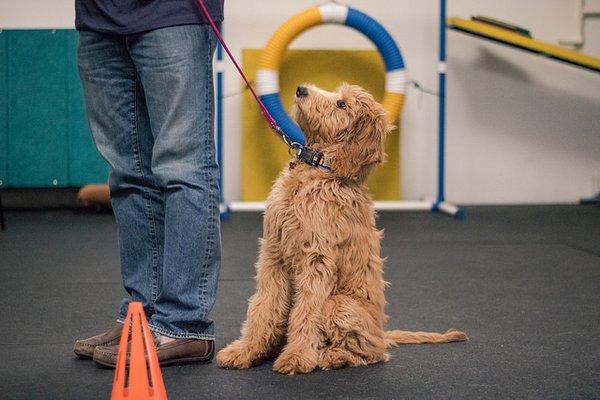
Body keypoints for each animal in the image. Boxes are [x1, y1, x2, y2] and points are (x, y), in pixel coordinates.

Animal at [218, 83, 466, 374]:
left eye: (342, 105)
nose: (301, 89)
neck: (318, 167)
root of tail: (383, 334)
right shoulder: (273, 255)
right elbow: (263, 306)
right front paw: (246, 350)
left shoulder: (317, 259)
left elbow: (306, 312)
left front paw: (297, 356)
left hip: (339, 305)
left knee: (372, 353)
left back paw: (331, 356)